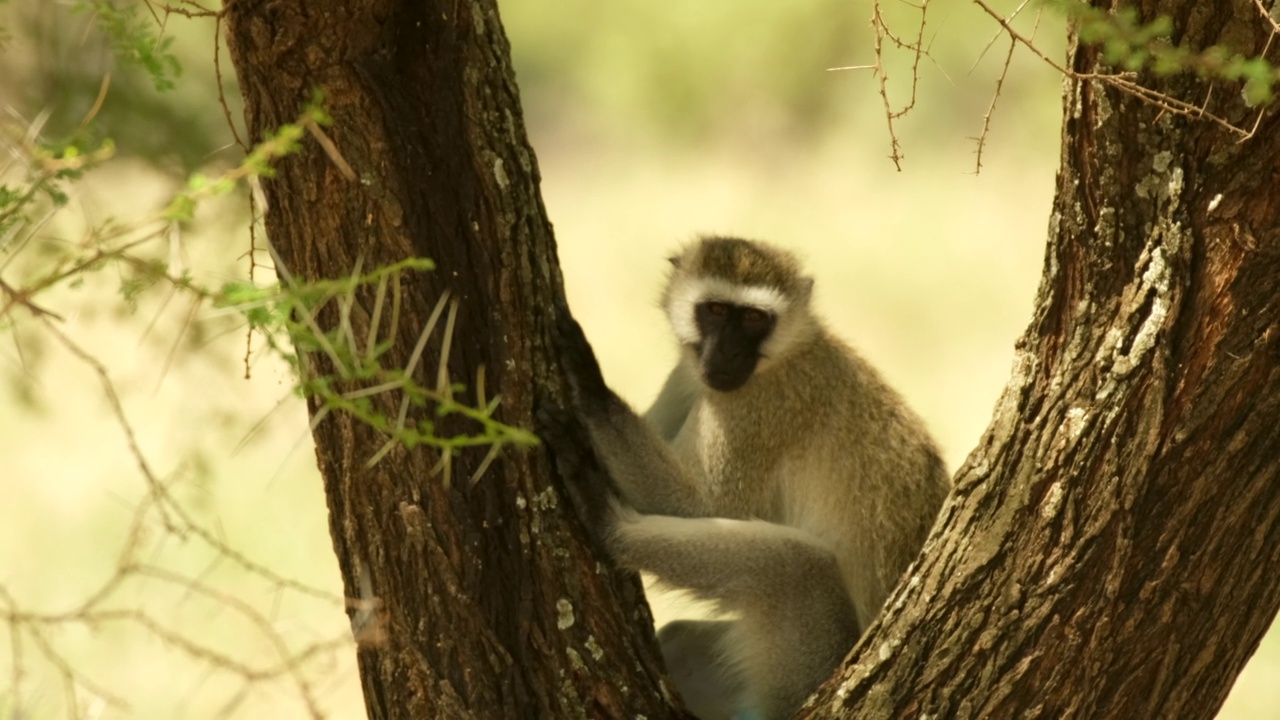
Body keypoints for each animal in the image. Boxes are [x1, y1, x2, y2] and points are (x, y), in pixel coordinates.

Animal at [540, 235, 952, 717]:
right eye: (716, 311)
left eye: (755, 319)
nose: (728, 353)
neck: (787, 352)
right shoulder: (688, 375)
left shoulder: (760, 405)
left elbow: (703, 507)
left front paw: (589, 387)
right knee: (683, 639)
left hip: (815, 668)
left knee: (799, 566)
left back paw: (606, 522)